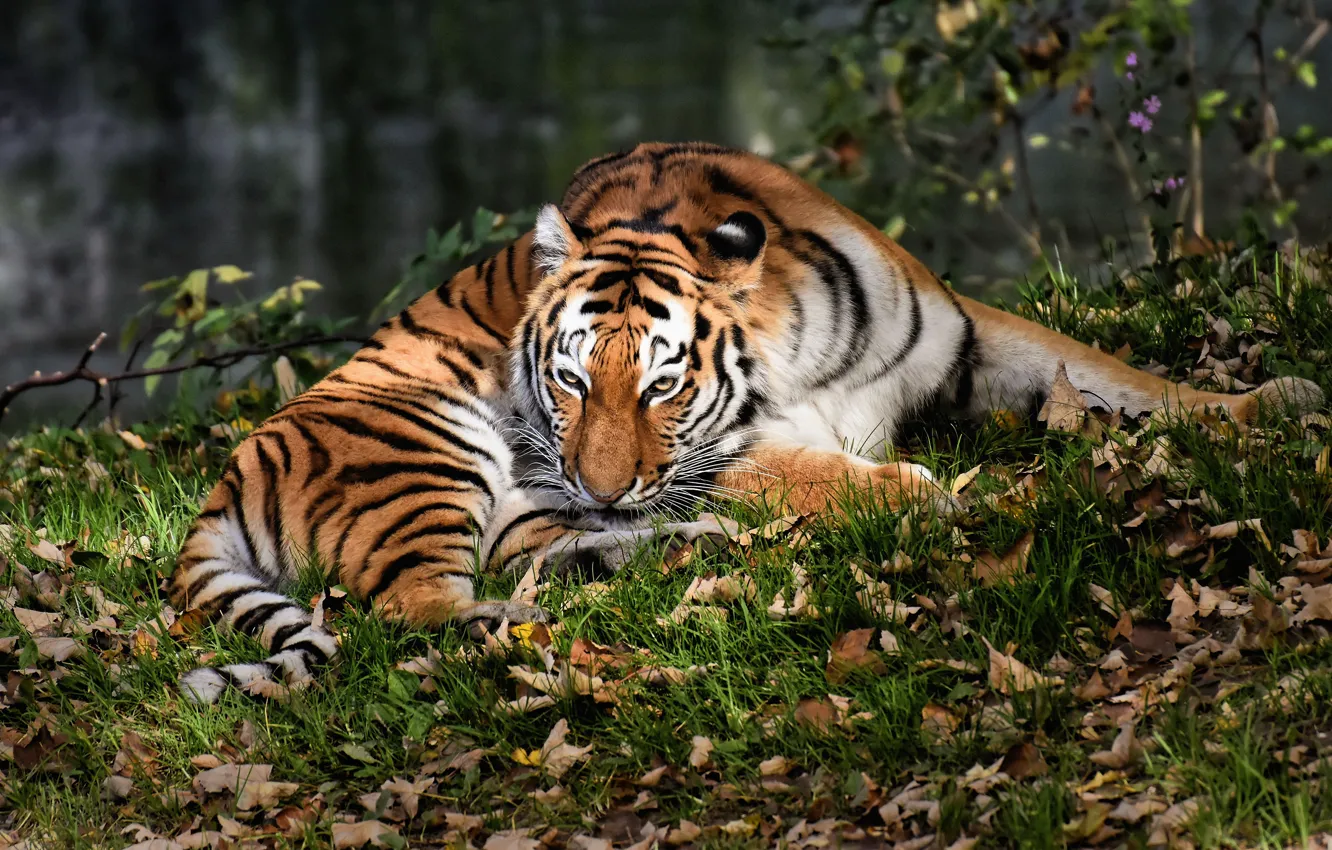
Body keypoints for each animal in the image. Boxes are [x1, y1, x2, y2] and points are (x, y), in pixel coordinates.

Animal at [172, 141, 1322, 704]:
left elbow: (1113, 372)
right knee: (413, 610)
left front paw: (1269, 401)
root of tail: (224, 480)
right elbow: (827, 473)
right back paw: (529, 622)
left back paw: (665, 560)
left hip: (521, 506)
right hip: (428, 444)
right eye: (571, 382)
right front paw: (933, 497)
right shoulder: (728, 453)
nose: (596, 485)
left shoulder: (969, 342)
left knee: (541, 559)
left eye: (660, 387)